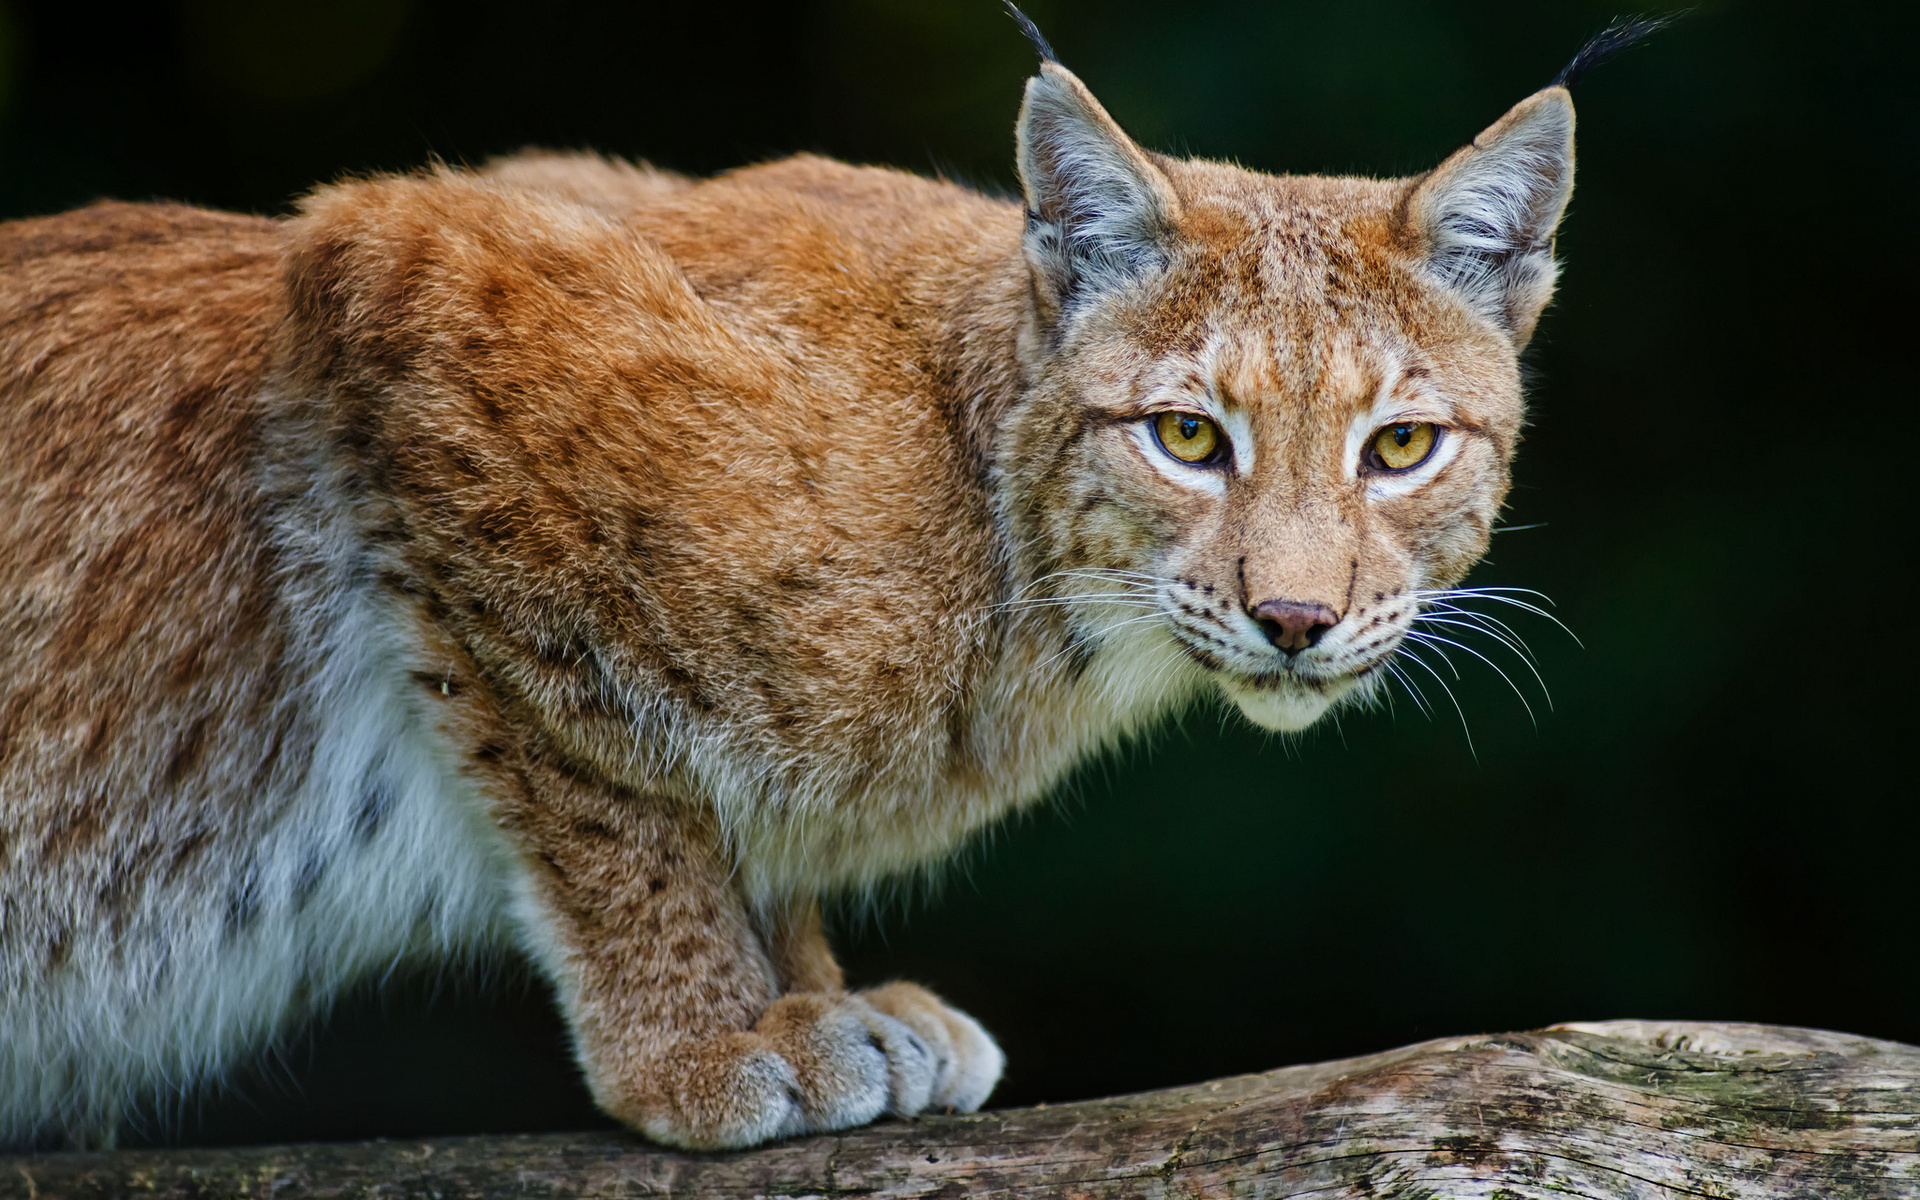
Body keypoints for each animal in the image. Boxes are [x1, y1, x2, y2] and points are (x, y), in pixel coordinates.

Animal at [0, 11, 1651, 1152]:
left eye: (1401, 447)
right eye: (1188, 437)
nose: (1295, 621)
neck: (1011, 551)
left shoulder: (525, 193)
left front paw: (810, 986)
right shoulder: (407, 258)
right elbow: (610, 790)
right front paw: (699, 1039)